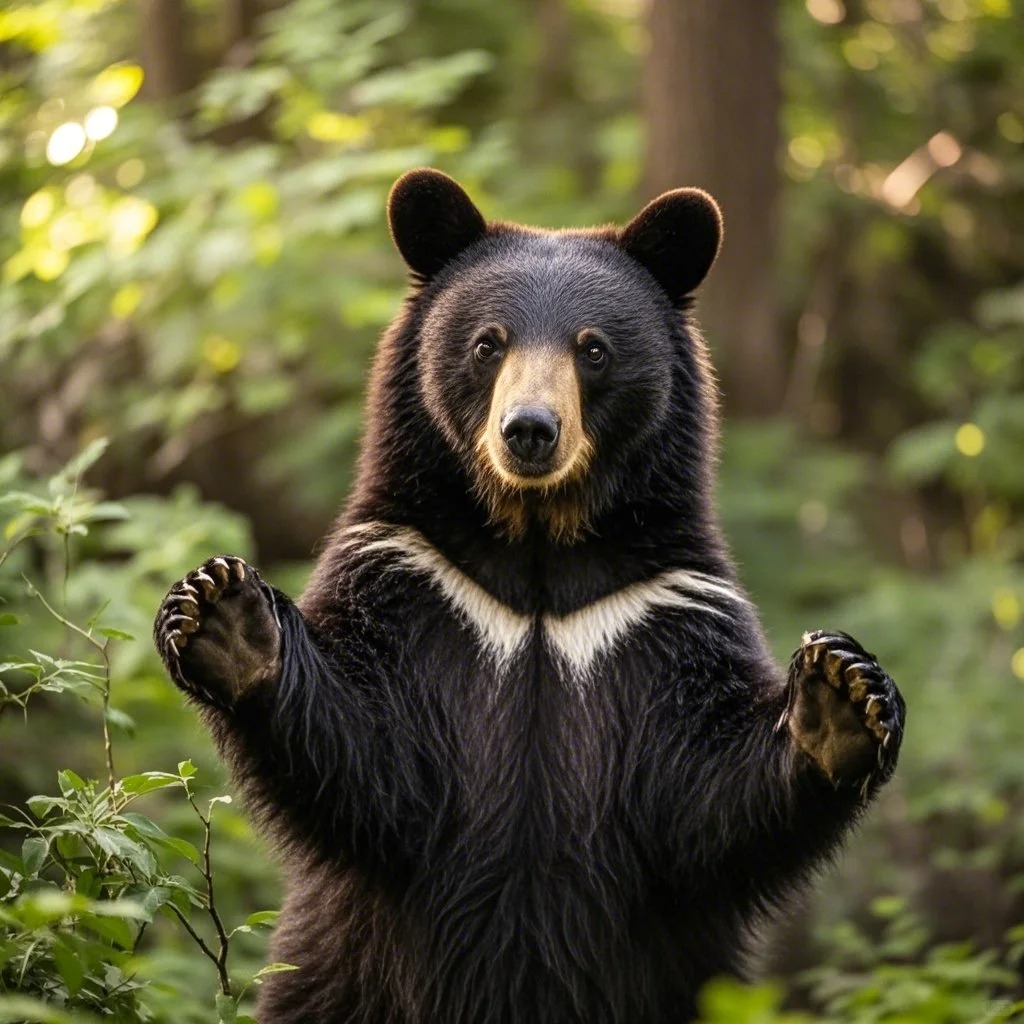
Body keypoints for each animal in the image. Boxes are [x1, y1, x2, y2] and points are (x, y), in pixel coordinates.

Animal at [151, 169, 905, 1024]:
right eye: (489, 342)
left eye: (593, 347)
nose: (530, 431)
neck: (538, 549)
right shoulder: (423, 579)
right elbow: (374, 753)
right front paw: (223, 614)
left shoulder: (654, 610)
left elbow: (700, 794)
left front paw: (842, 695)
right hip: (339, 975)